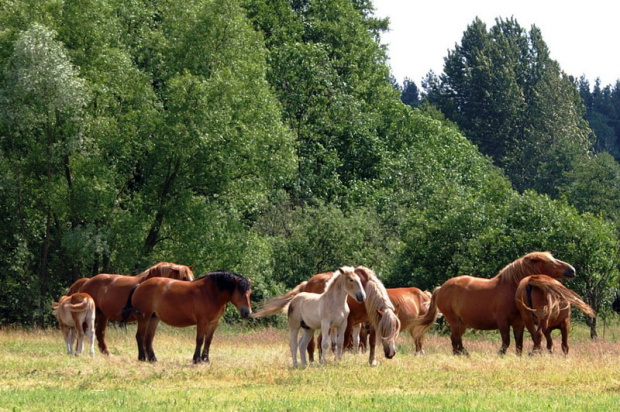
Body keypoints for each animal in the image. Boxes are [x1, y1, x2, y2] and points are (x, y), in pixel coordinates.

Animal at [412, 253, 576, 356]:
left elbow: (519, 343)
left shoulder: (519, 322)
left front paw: (519, 356)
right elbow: (506, 341)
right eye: (550, 262)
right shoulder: (502, 321)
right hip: (454, 320)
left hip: (461, 323)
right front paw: (501, 354)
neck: (510, 288)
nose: (572, 270)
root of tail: (441, 288)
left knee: (454, 340)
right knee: (456, 339)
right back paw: (464, 354)